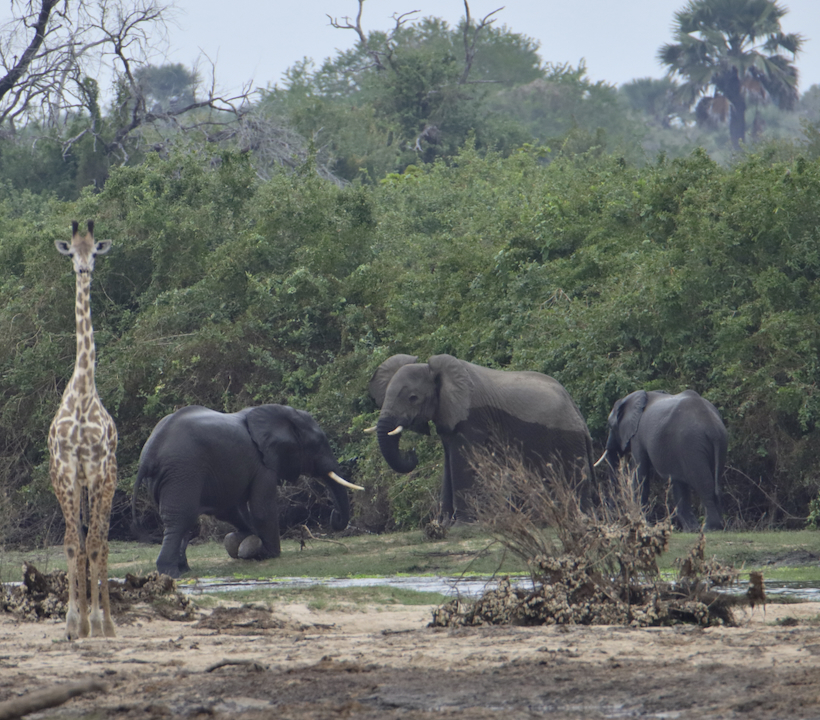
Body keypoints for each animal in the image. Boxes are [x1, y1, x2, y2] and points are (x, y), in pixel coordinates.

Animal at [131, 404, 362, 580]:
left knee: (183, 521)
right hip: (183, 471)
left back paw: (184, 569)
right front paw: (269, 553)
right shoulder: (263, 465)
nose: (333, 516)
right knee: (180, 519)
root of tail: (149, 454)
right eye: (318, 444)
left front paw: (246, 542)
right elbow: (261, 509)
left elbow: (229, 510)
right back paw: (171, 573)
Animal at [368, 352, 592, 516]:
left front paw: (462, 526)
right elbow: (449, 461)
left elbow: (462, 461)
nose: (412, 453)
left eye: (413, 398)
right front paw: (445, 524)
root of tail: (576, 410)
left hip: (567, 439)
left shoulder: (473, 418)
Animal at [600, 390, 728, 532]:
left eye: (610, 426)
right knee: (714, 482)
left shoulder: (637, 436)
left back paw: (709, 528)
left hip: (692, 444)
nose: (613, 521)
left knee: (703, 483)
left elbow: (640, 472)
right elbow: (678, 484)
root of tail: (712, 426)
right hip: (718, 443)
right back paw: (715, 527)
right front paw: (690, 530)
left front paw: (644, 524)